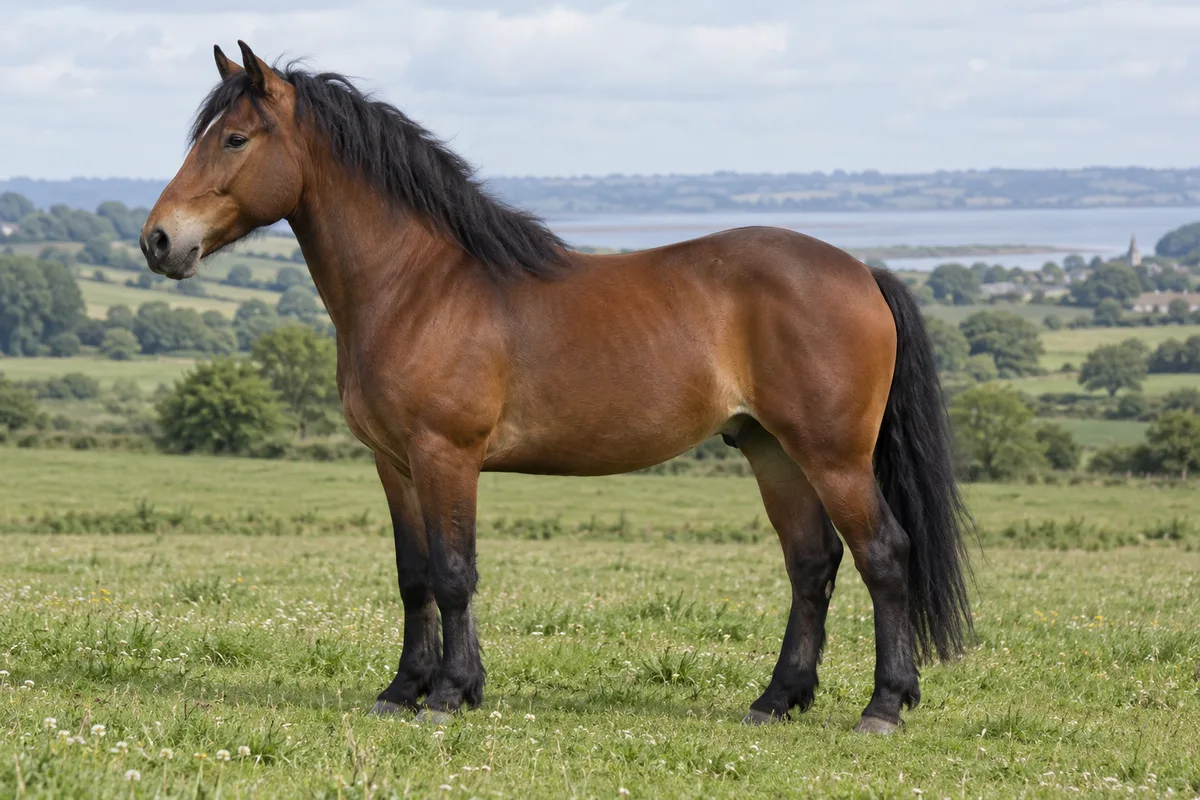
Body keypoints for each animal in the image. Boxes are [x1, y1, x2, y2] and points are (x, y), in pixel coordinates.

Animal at [141, 41, 973, 734]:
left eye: (235, 138)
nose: (158, 240)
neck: (419, 285)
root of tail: (861, 270)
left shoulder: (447, 454)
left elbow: (454, 574)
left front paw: (449, 695)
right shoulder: (394, 462)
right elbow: (414, 577)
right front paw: (402, 690)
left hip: (833, 456)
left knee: (883, 556)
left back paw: (883, 707)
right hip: (772, 450)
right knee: (812, 565)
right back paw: (776, 700)